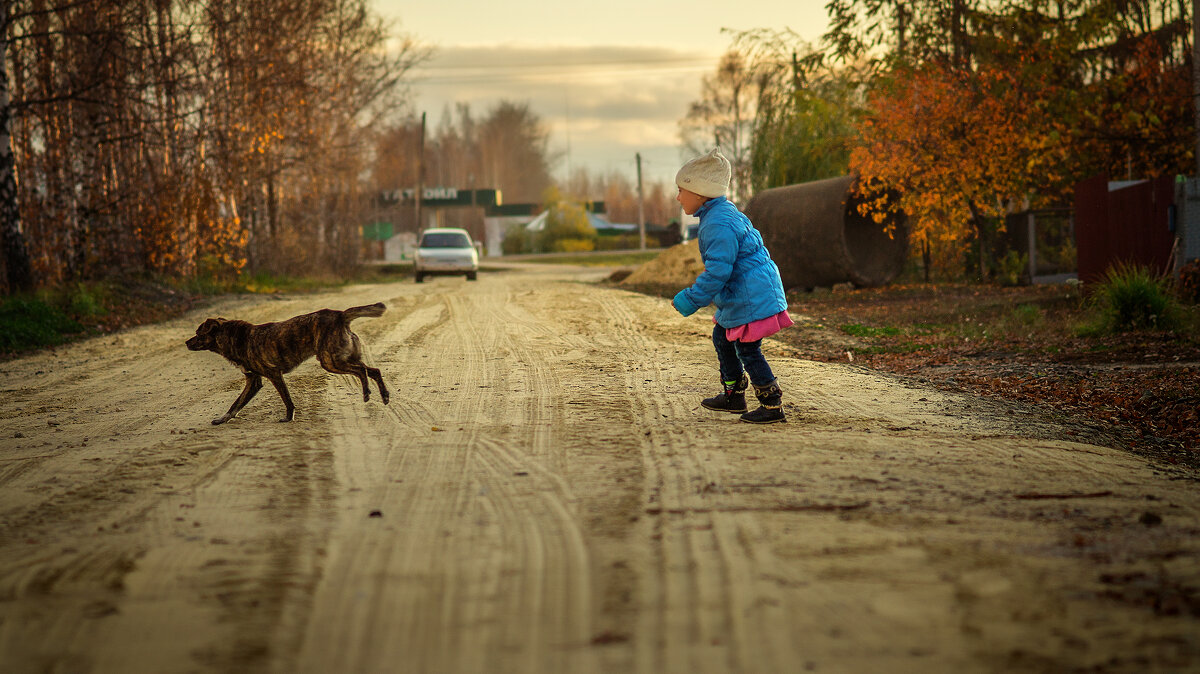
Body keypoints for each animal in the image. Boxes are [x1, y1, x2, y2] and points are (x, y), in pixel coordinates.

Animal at [184, 302, 388, 422]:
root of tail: (340, 315)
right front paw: (223, 419)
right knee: (374, 370)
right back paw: (384, 395)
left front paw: (289, 418)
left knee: (362, 371)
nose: (186, 342)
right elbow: (236, 403)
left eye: (198, 333)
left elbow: (287, 399)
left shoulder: (274, 375)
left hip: (330, 362)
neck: (235, 338)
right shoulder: (253, 381)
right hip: (342, 358)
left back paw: (367, 393)